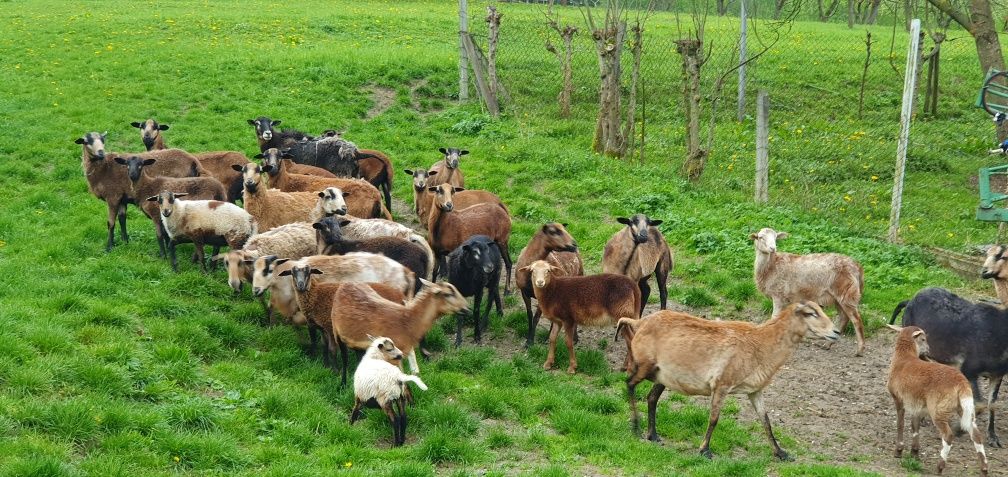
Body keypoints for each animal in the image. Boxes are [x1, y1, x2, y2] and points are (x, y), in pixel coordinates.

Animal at [77, 130, 208, 249]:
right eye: (87, 141)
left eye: (103, 140)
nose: (101, 153)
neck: (104, 168)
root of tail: (194, 160)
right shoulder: (121, 199)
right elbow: (122, 219)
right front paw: (125, 241)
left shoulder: (112, 197)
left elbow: (111, 223)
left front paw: (109, 247)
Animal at [332, 278, 469, 379]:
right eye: (448, 294)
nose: (467, 308)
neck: (407, 323)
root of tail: (345, 284)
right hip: (336, 332)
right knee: (344, 359)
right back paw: (342, 384)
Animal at [616, 300, 838, 461]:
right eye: (811, 313)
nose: (836, 332)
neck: (762, 343)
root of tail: (639, 322)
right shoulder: (721, 384)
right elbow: (714, 419)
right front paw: (704, 451)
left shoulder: (755, 390)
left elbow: (766, 421)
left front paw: (781, 453)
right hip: (645, 365)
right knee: (630, 384)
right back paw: (636, 428)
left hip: (663, 375)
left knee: (651, 398)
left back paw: (653, 435)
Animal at [887, 324, 987, 473]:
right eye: (923, 339)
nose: (929, 350)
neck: (904, 358)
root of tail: (961, 383)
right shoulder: (917, 405)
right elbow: (915, 427)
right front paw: (914, 453)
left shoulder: (898, 398)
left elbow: (900, 424)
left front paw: (898, 451)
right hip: (965, 407)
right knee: (976, 435)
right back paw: (984, 469)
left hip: (938, 409)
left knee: (948, 435)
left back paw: (940, 467)